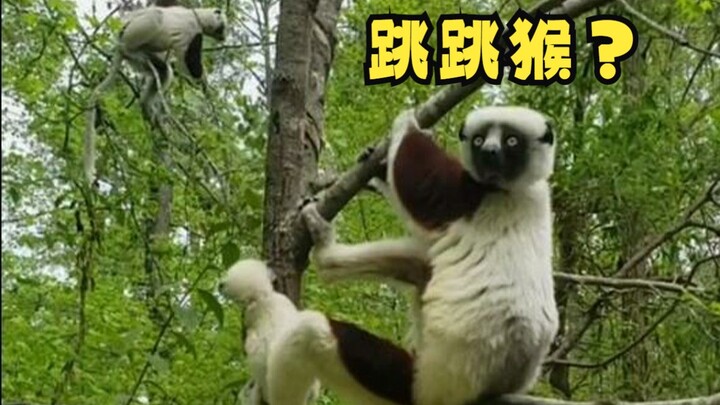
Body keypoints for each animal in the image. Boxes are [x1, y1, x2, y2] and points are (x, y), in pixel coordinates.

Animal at [83, 4, 227, 185]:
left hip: (138, 55)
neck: (196, 15)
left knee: (164, 71)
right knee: (155, 16)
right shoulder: (192, 31)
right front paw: (204, 84)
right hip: (130, 33)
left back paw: (147, 106)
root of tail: (120, 42)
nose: (223, 37)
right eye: (222, 28)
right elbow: (187, 63)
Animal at [276, 106, 560, 405]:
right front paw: (376, 161)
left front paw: (410, 121)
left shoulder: (479, 197)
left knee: (311, 332)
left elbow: (423, 189)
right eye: (480, 140)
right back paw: (327, 254)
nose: (490, 152)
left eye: (511, 141)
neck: (521, 187)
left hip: (425, 383)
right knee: (421, 263)